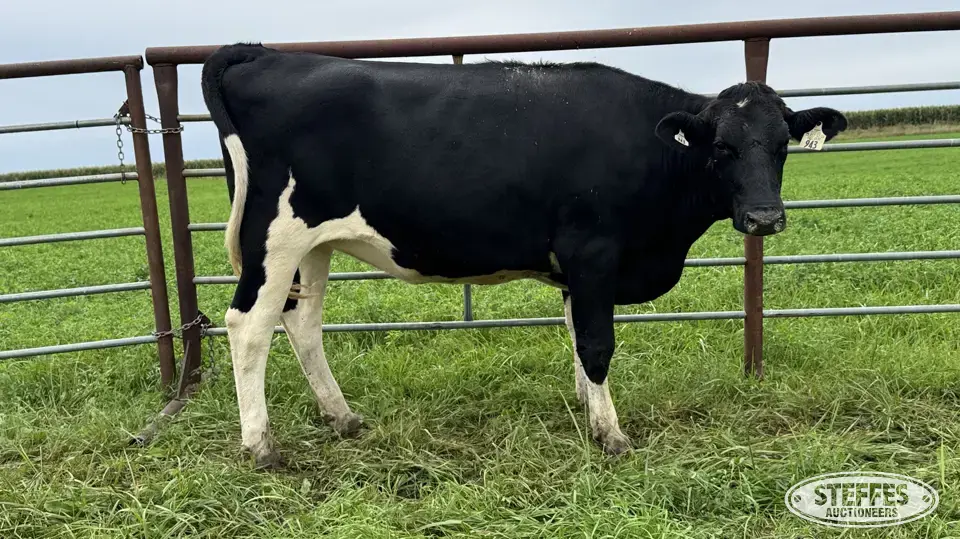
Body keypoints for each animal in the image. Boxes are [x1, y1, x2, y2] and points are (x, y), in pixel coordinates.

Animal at [200, 42, 846, 468]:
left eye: (783, 144)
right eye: (721, 148)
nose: (764, 218)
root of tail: (267, 54)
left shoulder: (577, 269)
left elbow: (577, 336)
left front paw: (588, 409)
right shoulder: (593, 250)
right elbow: (597, 342)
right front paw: (611, 434)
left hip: (315, 245)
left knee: (302, 321)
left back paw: (342, 417)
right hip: (274, 236)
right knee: (248, 324)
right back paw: (261, 445)